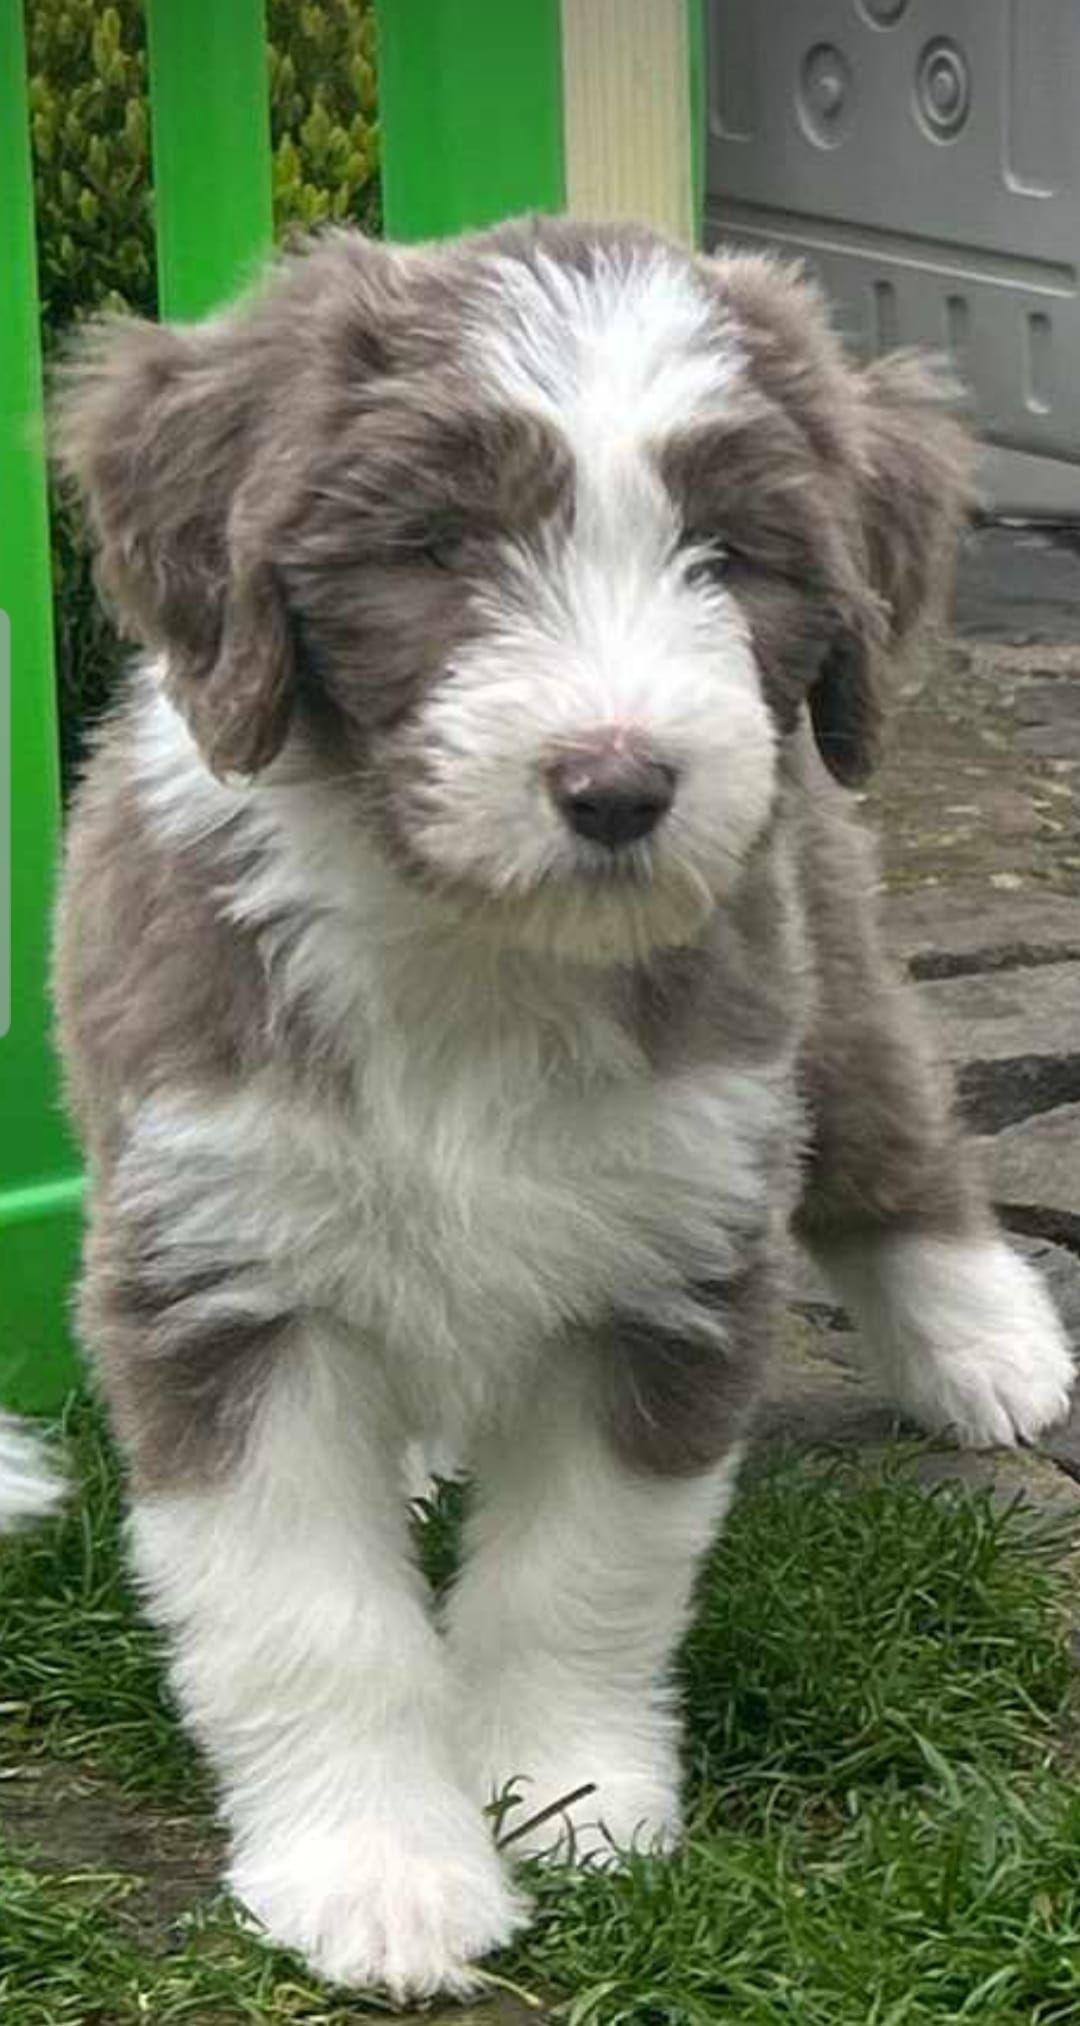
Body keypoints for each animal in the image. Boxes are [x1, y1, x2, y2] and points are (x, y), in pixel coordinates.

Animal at [11, 216, 1074, 1996]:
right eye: (437, 541)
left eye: (729, 551)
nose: (620, 786)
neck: (472, 953)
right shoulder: (221, 1270)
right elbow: (309, 1612)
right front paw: (379, 1872)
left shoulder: (671, 1253)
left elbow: (582, 1574)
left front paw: (564, 1807)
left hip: (825, 963)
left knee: (895, 1143)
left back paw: (989, 1349)